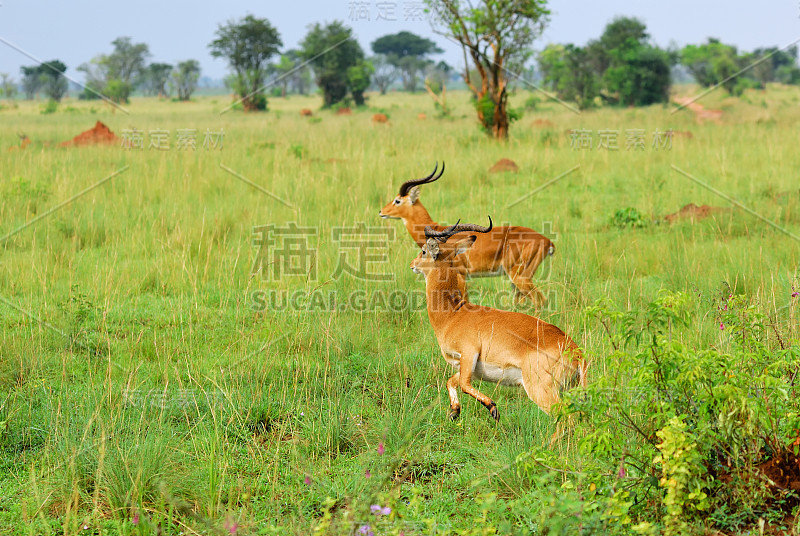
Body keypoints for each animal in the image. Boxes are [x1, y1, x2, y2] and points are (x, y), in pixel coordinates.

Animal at [382, 162, 556, 306]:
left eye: (397, 200)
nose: (381, 211)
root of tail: (547, 241)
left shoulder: (462, 275)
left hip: (519, 276)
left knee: (540, 301)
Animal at [410, 218, 584, 432]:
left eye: (424, 251)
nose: (412, 265)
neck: (453, 314)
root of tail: (575, 351)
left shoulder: (469, 354)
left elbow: (464, 384)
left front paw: (493, 409)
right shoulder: (467, 366)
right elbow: (451, 381)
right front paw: (454, 412)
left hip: (541, 390)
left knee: (567, 418)